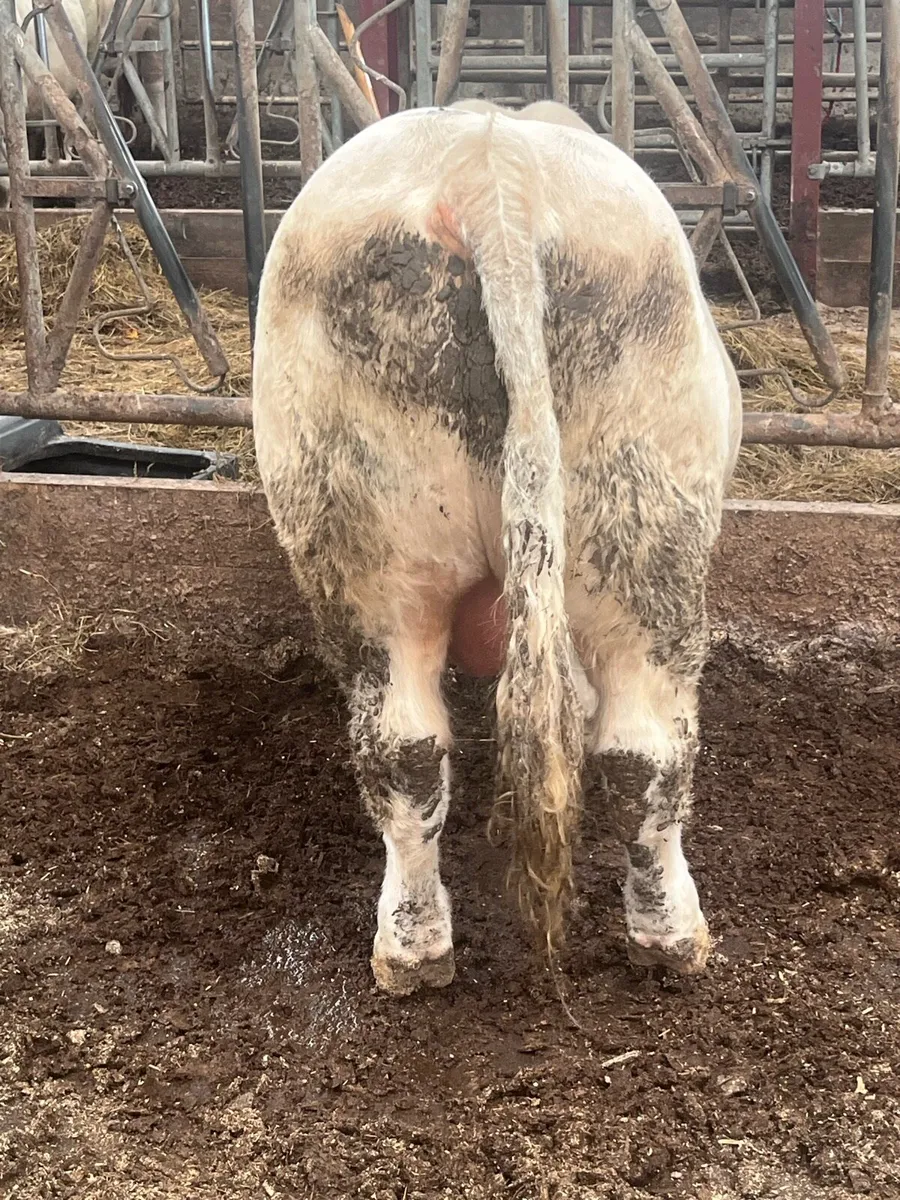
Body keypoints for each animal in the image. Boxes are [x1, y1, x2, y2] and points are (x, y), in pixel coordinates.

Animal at [252, 100, 742, 996]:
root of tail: (485, 163)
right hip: (647, 552)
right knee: (650, 749)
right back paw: (672, 935)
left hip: (374, 547)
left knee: (405, 747)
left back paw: (412, 948)